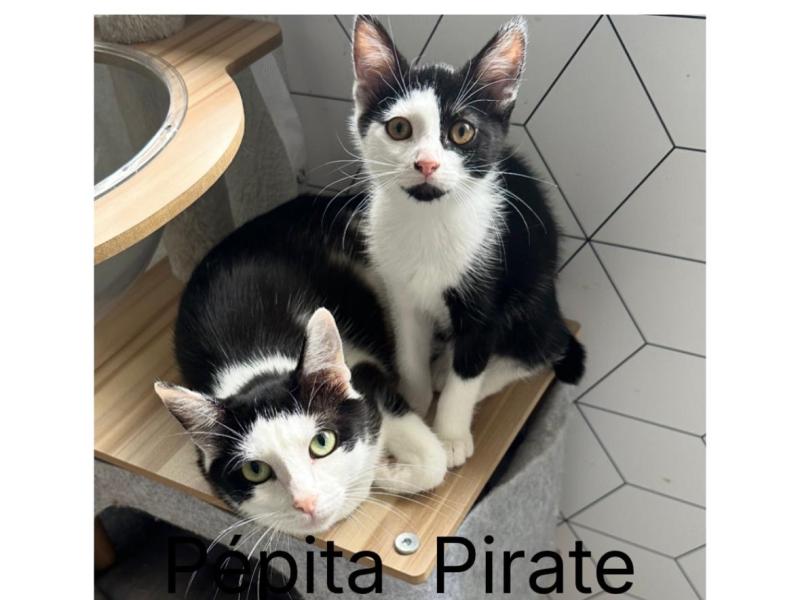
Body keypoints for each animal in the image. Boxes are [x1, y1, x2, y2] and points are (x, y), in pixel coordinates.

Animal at [154, 195, 447, 536]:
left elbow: (434, 462)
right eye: (255, 470)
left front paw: (381, 471)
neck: (259, 368)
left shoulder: (367, 377)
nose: (306, 502)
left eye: (322, 443)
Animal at [349, 16, 586, 468]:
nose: (426, 164)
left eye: (462, 131)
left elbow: (469, 370)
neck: (429, 220)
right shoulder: (400, 291)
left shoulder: (487, 298)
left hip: (532, 293)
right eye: (399, 128)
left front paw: (451, 436)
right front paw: (415, 399)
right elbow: (409, 350)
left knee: (544, 347)